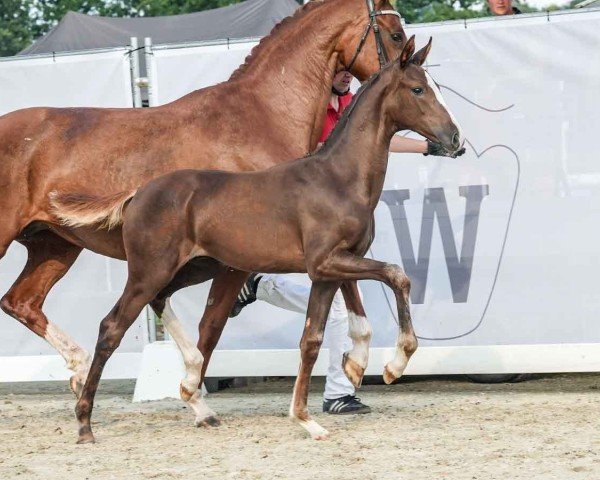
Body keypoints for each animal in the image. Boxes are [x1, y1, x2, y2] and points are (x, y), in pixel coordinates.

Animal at [51, 36, 464, 442]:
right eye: (418, 89)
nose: (455, 139)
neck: (338, 179)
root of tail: (138, 192)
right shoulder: (326, 263)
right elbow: (396, 275)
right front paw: (394, 364)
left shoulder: (332, 268)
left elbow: (318, 337)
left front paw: (330, 394)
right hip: (148, 271)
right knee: (111, 327)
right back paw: (85, 423)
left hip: (195, 268)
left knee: (161, 300)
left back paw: (197, 395)